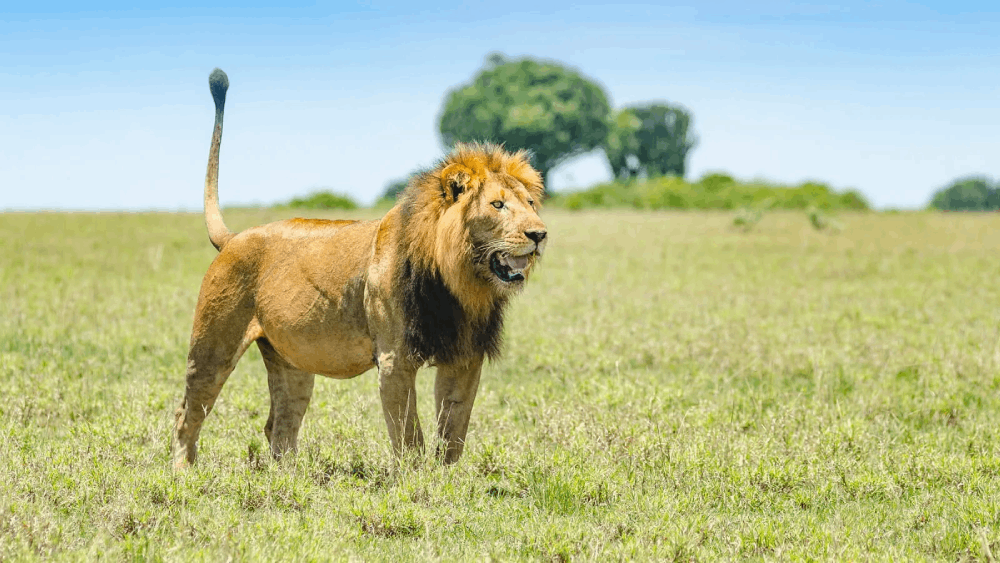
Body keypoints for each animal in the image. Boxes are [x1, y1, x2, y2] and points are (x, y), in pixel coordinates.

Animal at [172, 69, 548, 468]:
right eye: (497, 205)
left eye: (529, 203)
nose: (539, 234)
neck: (460, 283)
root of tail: (233, 237)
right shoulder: (395, 360)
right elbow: (409, 436)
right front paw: (416, 480)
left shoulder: (464, 357)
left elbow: (453, 431)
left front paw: (449, 478)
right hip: (213, 344)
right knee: (188, 412)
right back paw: (184, 471)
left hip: (290, 358)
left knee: (280, 425)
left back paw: (290, 476)